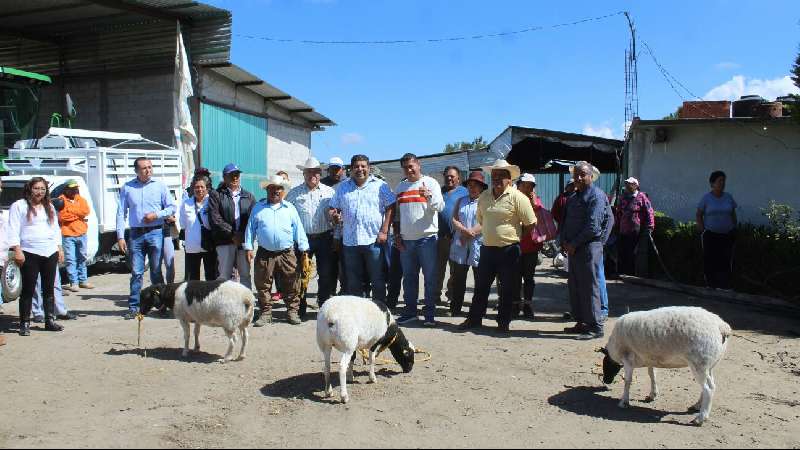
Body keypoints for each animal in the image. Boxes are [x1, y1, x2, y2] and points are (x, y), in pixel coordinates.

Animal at [600, 306, 732, 426]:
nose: (606, 381)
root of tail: (721, 326)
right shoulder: (650, 359)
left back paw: (700, 418)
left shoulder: (627, 359)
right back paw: (696, 406)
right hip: (709, 364)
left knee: (708, 388)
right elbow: (652, 375)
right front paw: (653, 394)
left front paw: (624, 402)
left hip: (699, 363)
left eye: (605, 364)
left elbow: (627, 381)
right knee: (708, 385)